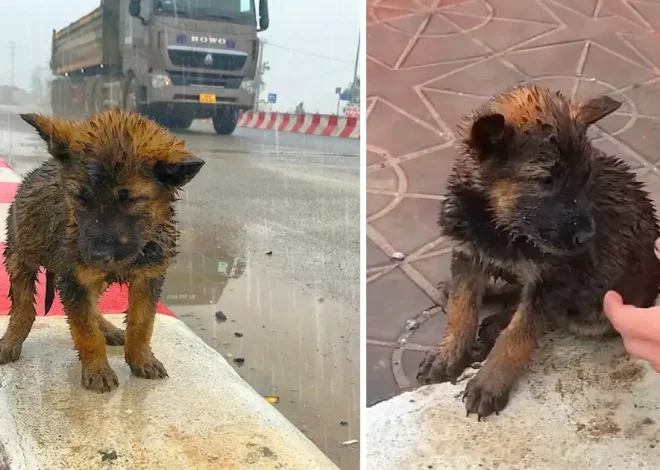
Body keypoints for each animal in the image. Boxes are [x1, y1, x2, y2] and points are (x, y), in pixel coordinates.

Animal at [0, 108, 204, 392]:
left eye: (131, 200)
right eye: (80, 198)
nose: (96, 256)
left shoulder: (149, 277)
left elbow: (142, 323)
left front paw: (141, 359)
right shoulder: (75, 279)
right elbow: (85, 330)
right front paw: (97, 369)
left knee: (94, 306)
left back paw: (107, 328)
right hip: (20, 257)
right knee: (24, 308)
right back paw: (11, 340)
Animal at [418, 86, 660, 420]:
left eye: (585, 176)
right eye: (546, 180)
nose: (588, 237)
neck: (498, 225)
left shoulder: (554, 280)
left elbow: (519, 334)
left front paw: (490, 381)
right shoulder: (468, 254)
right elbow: (461, 307)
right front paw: (448, 352)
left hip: (594, 310)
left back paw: (497, 321)